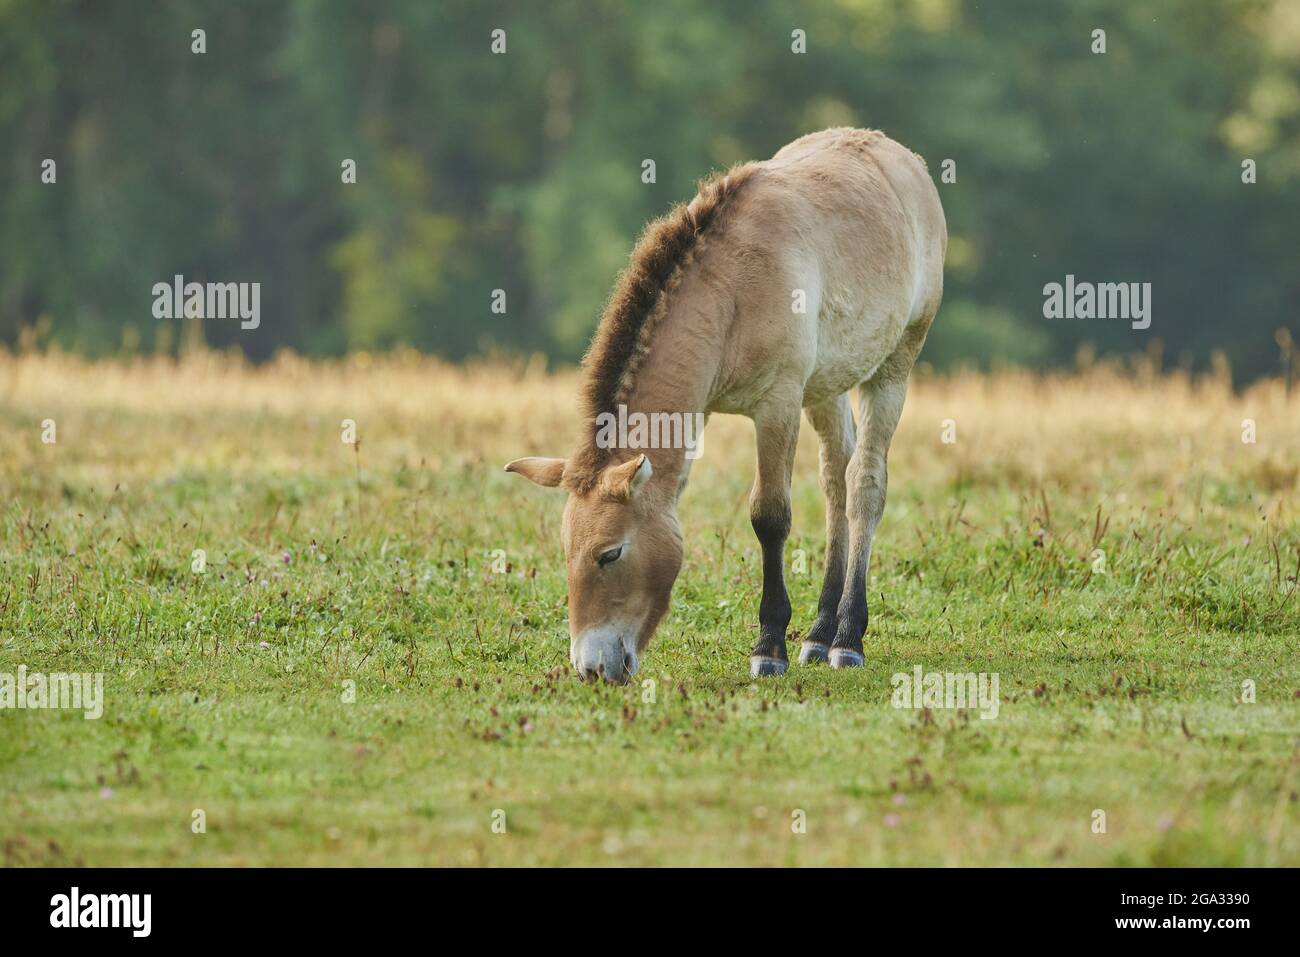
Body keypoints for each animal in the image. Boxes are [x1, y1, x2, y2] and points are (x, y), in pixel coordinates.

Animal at [504, 128, 946, 681]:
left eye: (610, 554)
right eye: (566, 552)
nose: (591, 668)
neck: (731, 292)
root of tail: (901, 156)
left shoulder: (778, 405)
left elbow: (770, 517)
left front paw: (769, 646)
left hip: (893, 367)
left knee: (865, 485)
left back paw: (847, 637)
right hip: (827, 387)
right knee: (835, 484)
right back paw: (820, 634)